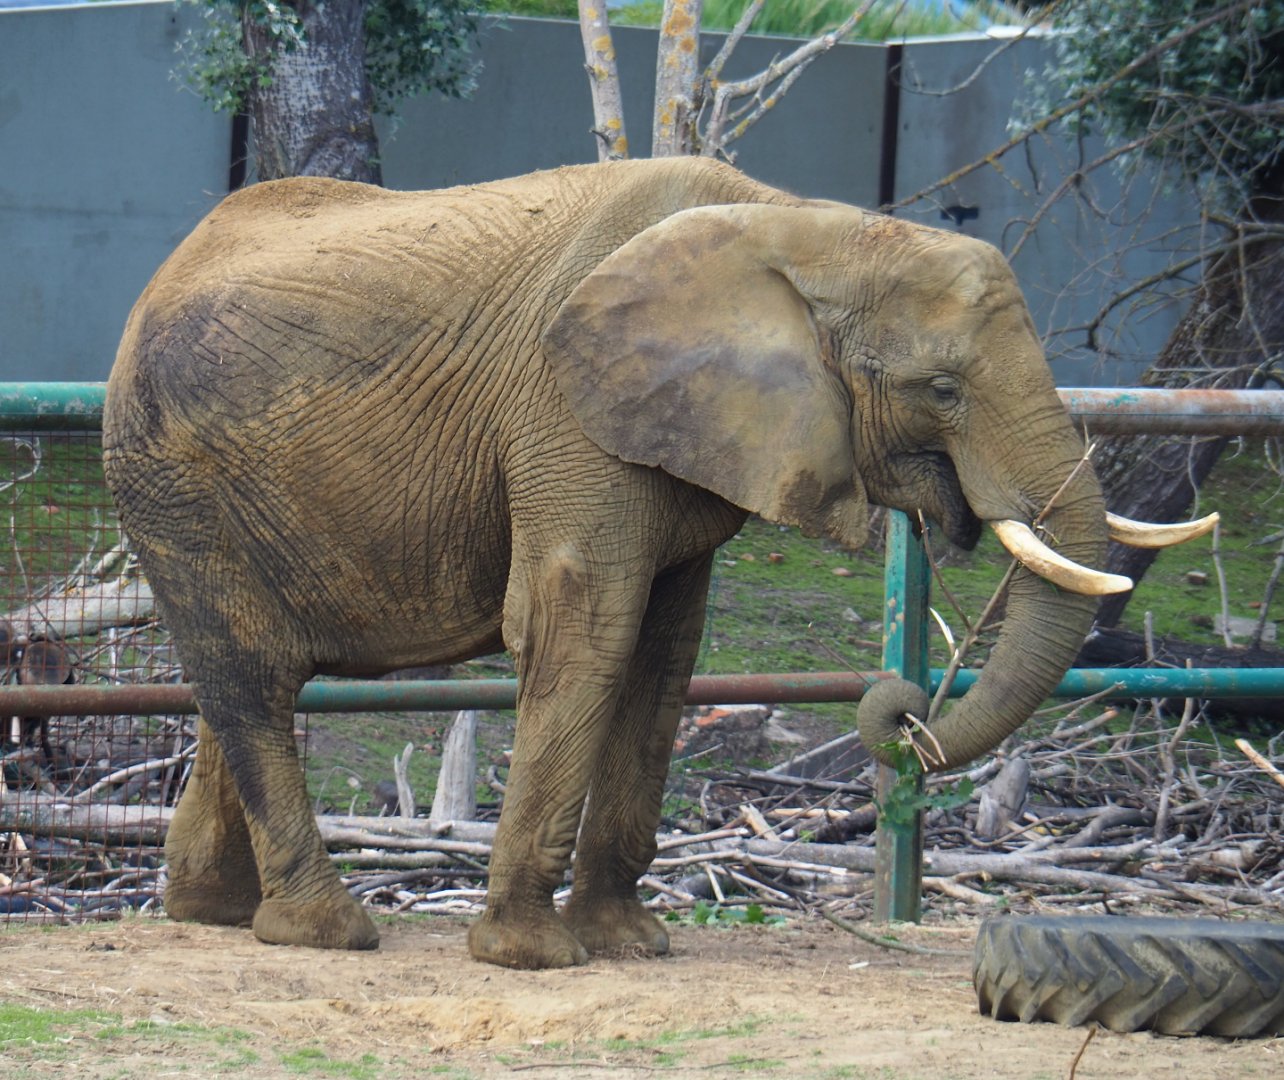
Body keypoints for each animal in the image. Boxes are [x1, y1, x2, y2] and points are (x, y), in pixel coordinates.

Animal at [102, 156, 1209, 970]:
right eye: (942, 389)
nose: (904, 710)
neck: (806, 226)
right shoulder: (565, 409)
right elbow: (583, 626)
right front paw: (532, 958)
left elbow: (666, 651)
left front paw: (631, 945)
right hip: (169, 471)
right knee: (251, 677)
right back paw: (326, 932)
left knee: (249, 676)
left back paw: (212, 911)